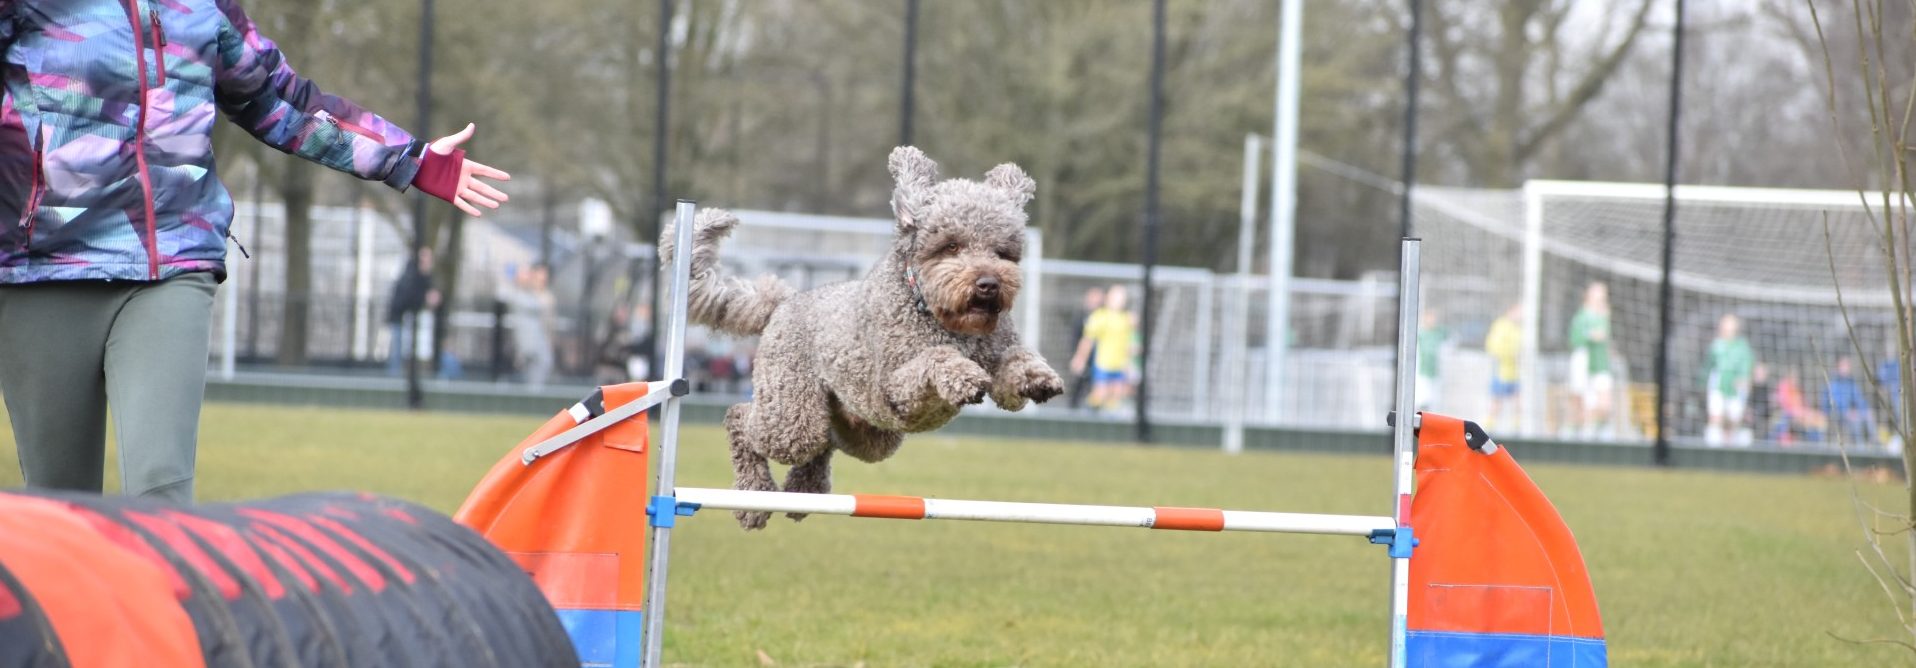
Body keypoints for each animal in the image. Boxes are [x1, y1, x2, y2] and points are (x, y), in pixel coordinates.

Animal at [662, 147, 1072, 532]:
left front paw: (1038, 376)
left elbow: (1012, 364)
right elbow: (934, 359)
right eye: (951, 246)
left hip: (866, 431)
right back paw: (754, 499)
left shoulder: (995, 358)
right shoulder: (896, 385)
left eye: (1003, 252)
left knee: (826, 442)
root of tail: (785, 301)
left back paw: (804, 491)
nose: (989, 284)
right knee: (742, 419)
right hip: (793, 415)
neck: (943, 318)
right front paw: (964, 375)